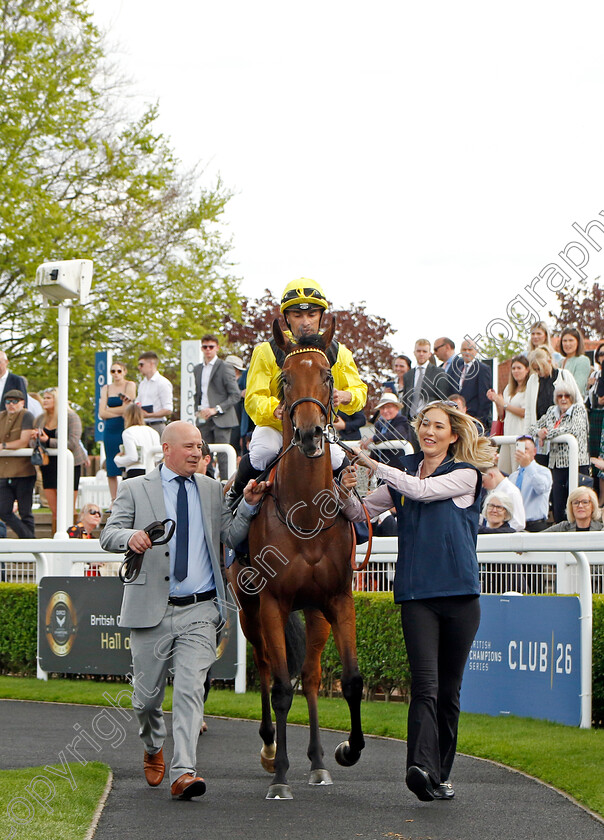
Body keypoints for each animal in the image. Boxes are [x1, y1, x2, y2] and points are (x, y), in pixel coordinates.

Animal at [226, 316, 366, 800]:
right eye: (285, 379)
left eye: (326, 376)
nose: (308, 434)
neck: (305, 512)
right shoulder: (272, 603)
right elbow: (281, 688)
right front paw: (281, 775)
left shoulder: (339, 600)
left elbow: (351, 680)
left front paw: (345, 751)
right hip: (249, 610)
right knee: (268, 668)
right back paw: (271, 749)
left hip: (315, 612)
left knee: (310, 675)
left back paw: (318, 762)